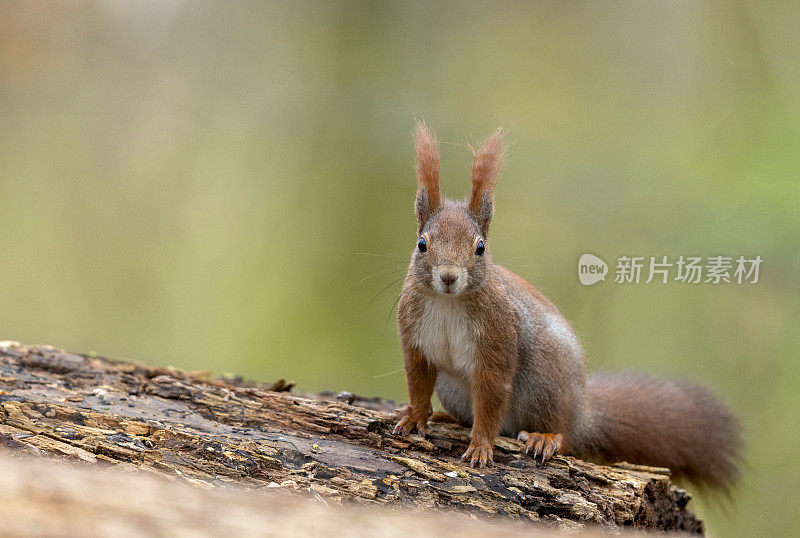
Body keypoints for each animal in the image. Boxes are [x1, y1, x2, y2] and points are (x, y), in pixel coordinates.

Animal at [394, 122, 744, 490]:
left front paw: (480, 447)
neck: (449, 302)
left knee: (564, 434)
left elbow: (492, 396)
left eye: (480, 248)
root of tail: (582, 414)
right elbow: (417, 379)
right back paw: (447, 416)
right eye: (422, 244)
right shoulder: (413, 336)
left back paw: (546, 437)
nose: (448, 277)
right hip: (455, 387)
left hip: (544, 383)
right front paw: (414, 416)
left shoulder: (498, 335)